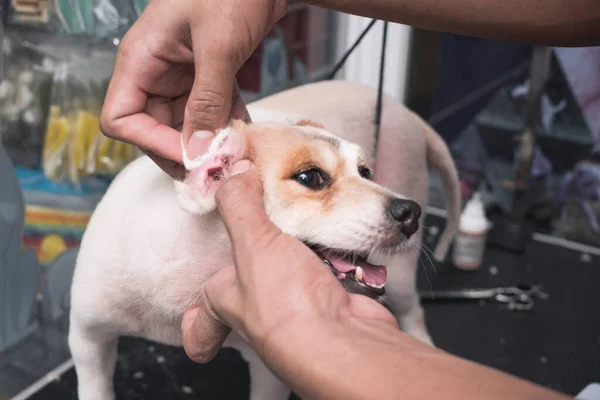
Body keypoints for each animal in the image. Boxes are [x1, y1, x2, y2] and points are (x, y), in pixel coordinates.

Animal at [69, 81, 460, 400]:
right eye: (310, 177)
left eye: (365, 172)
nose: (410, 213)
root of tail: (403, 111)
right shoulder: (87, 339)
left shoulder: (268, 368)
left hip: (403, 274)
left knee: (413, 310)